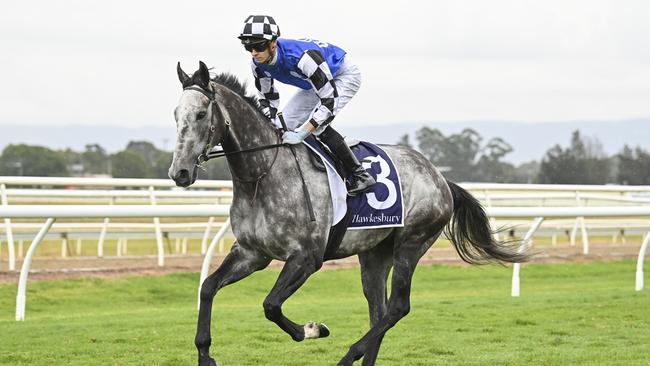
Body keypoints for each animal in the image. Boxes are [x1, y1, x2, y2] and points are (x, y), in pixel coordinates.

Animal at [168, 61, 528, 364]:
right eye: (175, 114)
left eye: (201, 114)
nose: (179, 173)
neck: (263, 174)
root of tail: (439, 177)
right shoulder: (252, 252)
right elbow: (208, 287)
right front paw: (205, 355)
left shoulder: (306, 257)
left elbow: (270, 305)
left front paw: (313, 329)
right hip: (375, 253)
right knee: (379, 310)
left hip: (411, 243)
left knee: (398, 307)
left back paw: (349, 355)